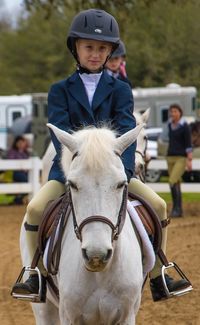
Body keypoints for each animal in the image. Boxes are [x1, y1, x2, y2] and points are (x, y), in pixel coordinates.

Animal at [20, 122, 145, 324]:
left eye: (121, 184)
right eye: (72, 184)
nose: (96, 255)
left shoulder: (127, 316)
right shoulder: (69, 316)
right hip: (44, 310)